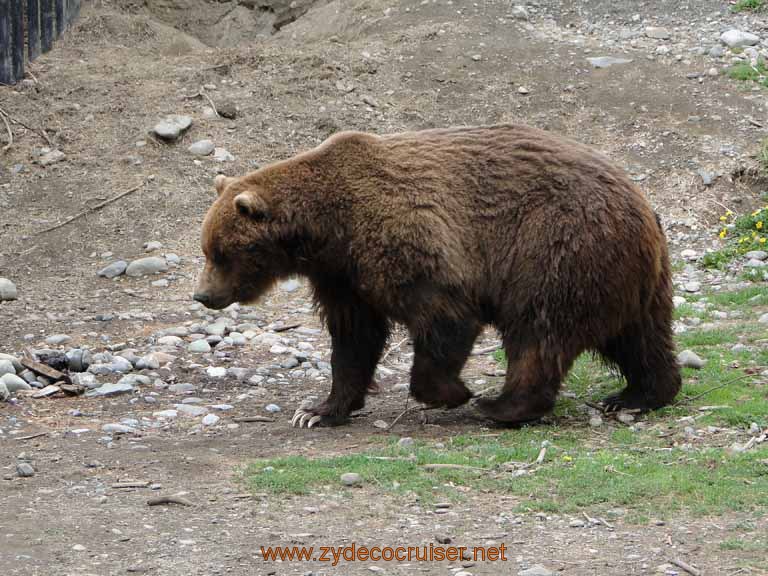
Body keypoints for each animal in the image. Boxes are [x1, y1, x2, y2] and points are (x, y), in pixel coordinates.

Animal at [195, 122, 680, 428]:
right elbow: (353, 339)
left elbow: (444, 314)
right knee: (639, 336)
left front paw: (453, 392)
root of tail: (640, 202)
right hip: (629, 275)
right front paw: (317, 410)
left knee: (539, 331)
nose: (202, 295)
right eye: (207, 249)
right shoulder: (343, 275)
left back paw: (501, 406)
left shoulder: (403, 239)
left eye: (220, 253)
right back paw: (640, 394)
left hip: (555, 246)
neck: (328, 229)